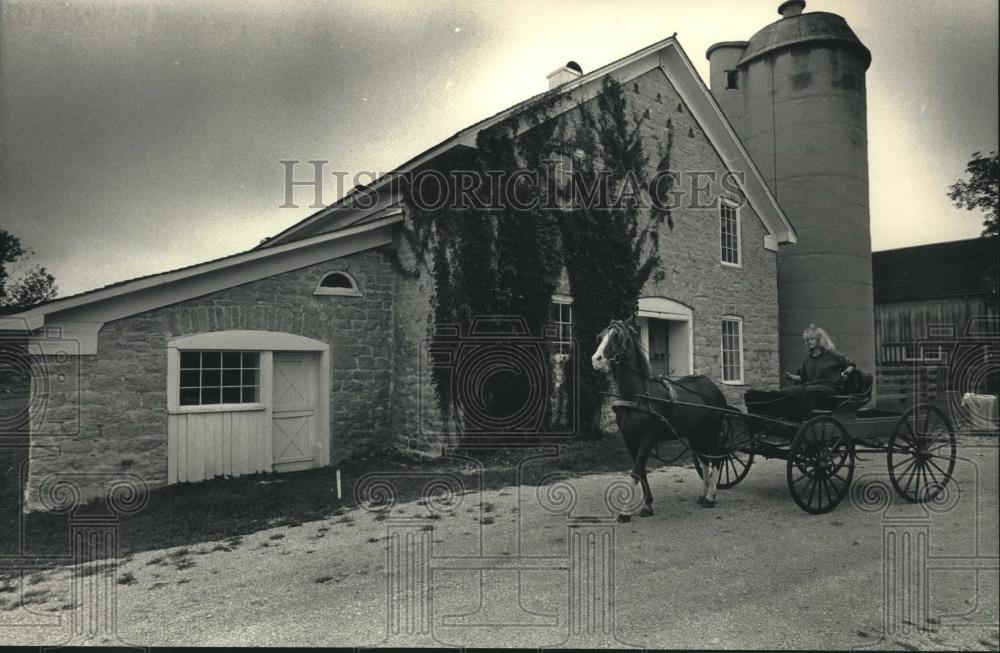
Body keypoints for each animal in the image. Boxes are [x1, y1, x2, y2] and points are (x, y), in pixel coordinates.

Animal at [588, 318, 732, 520]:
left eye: (619, 337)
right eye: (600, 336)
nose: (596, 359)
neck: (638, 397)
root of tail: (713, 387)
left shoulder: (647, 438)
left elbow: (635, 472)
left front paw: (625, 512)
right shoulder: (629, 440)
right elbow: (640, 472)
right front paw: (647, 505)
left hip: (711, 430)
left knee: (717, 459)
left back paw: (710, 497)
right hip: (695, 434)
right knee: (704, 459)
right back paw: (703, 494)